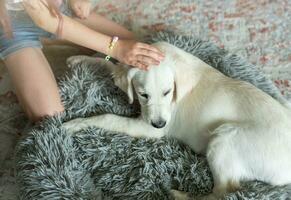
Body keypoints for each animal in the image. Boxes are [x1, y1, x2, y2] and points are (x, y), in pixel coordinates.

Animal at [64, 41, 291, 198]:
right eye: (143, 94)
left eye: (167, 92)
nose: (159, 123)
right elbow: (112, 66)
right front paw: (80, 59)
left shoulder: (148, 129)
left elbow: (109, 118)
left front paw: (75, 124)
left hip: (224, 138)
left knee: (223, 192)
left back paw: (179, 195)